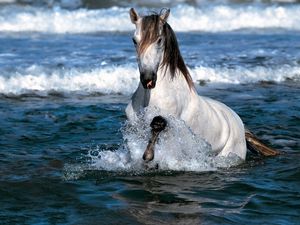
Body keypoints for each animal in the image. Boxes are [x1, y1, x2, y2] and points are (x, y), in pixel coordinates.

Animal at [125, 7, 278, 163]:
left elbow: (158, 124)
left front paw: (148, 155)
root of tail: (240, 124)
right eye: (134, 40)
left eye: (159, 40)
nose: (148, 79)